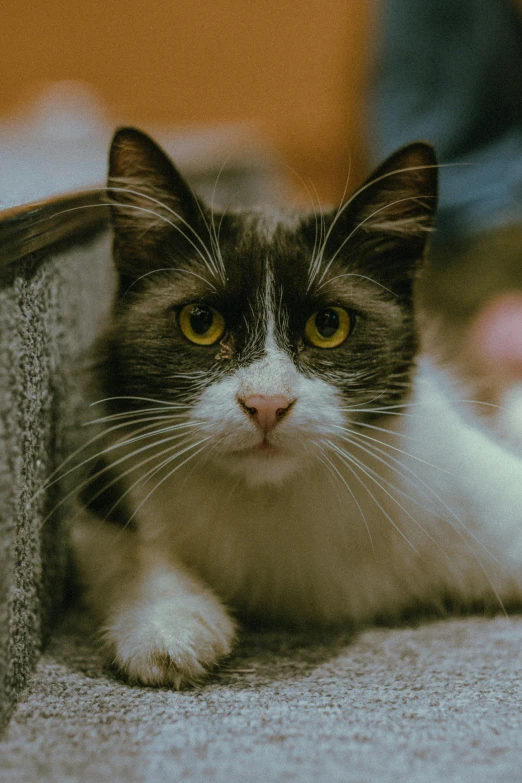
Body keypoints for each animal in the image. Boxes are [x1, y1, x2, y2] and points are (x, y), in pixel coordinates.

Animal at [70, 127, 522, 688]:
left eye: (329, 325)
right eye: (201, 322)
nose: (266, 404)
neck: (275, 495)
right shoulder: (106, 487)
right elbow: (129, 551)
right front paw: (168, 625)